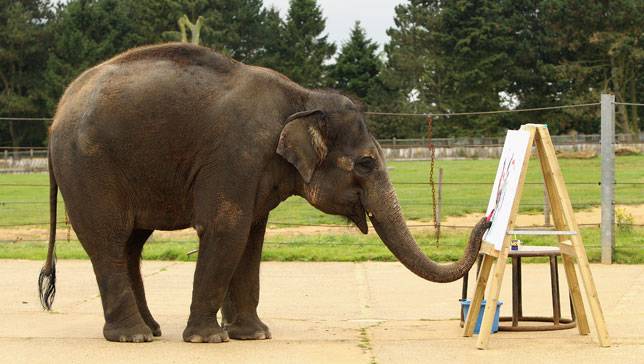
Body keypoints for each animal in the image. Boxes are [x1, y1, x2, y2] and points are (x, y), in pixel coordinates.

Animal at [39, 43, 488, 344]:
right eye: (365, 164)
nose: (486, 222)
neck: (303, 98)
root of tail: (56, 116)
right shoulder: (235, 155)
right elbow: (227, 229)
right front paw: (209, 339)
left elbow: (252, 238)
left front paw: (254, 335)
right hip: (89, 169)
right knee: (109, 241)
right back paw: (133, 337)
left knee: (132, 243)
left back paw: (151, 330)